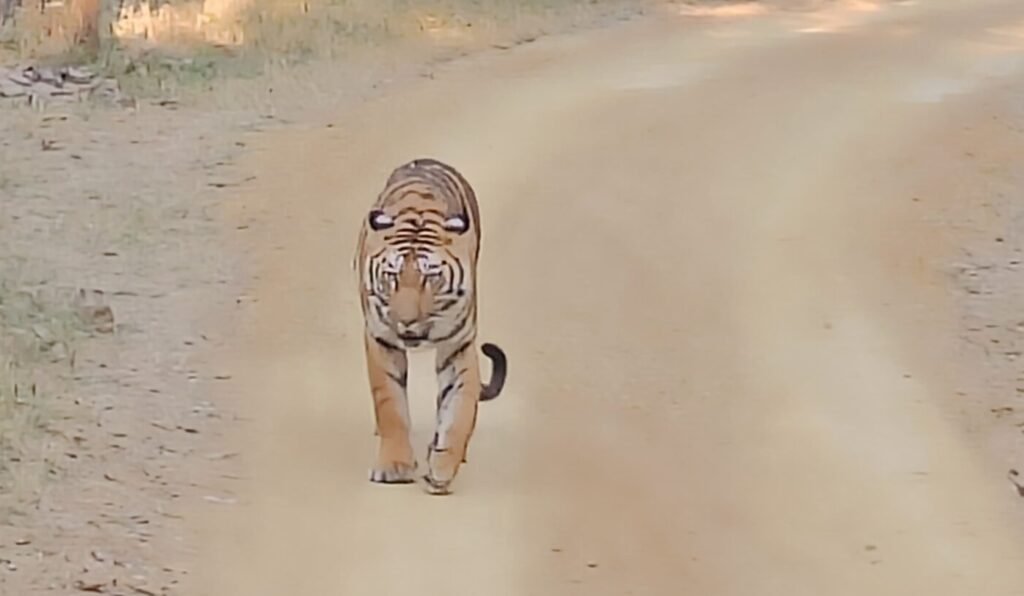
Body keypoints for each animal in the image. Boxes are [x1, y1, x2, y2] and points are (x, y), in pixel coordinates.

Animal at [354, 157, 509, 495]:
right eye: (392, 276)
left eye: (430, 277)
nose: (407, 320)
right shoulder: (381, 339)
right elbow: (391, 405)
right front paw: (394, 467)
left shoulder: (458, 345)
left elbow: (459, 410)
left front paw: (441, 469)